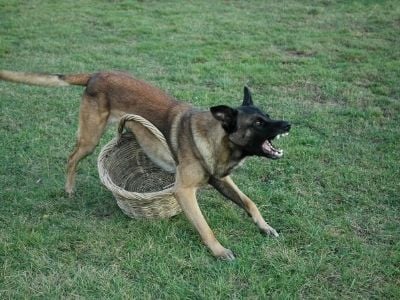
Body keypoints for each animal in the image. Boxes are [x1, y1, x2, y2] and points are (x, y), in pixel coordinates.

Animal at [1, 71, 292, 260]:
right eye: (258, 123)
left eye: (266, 116)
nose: (288, 124)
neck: (217, 137)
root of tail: (96, 74)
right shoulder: (184, 191)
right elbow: (205, 226)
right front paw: (219, 251)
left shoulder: (220, 179)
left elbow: (249, 202)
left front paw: (265, 227)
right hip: (89, 139)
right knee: (71, 158)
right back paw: (69, 189)